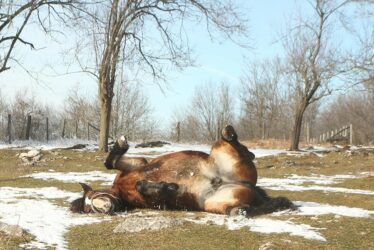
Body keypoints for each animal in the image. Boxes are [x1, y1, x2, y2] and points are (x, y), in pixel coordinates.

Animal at [71, 126, 296, 216]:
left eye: (92, 196)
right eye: (87, 209)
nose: (104, 208)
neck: (120, 189)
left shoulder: (137, 165)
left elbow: (111, 162)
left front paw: (120, 144)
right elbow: (147, 188)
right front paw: (167, 186)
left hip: (223, 152)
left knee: (233, 142)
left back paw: (231, 134)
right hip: (216, 203)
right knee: (244, 210)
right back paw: (241, 211)